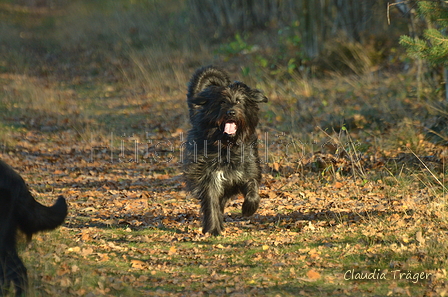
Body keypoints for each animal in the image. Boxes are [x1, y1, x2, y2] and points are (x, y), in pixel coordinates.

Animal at [184, 66, 268, 235]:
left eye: (239, 101)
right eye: (222, 102)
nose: (231, 112)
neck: (227, 146)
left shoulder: (247, 170)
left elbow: (253, 187)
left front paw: (248, 208)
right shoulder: (209, 178)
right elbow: (211, 203)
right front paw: (213, 230)